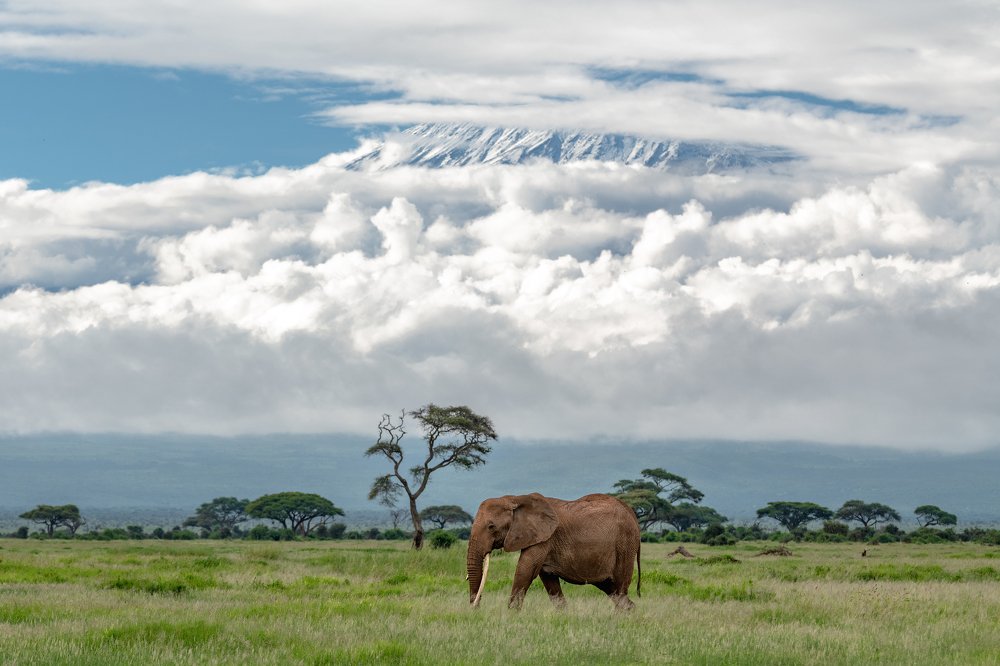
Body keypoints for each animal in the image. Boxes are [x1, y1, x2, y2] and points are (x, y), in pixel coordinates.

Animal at [466, 492, 641, 610]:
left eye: (491, 526)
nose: (475, 608)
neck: (515, 498)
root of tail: (631, 513)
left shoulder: (545, 538)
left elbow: (525, 570)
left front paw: (511, 615)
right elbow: (548, 579)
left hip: (625, 544)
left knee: (620, 587)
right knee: (611, 588)